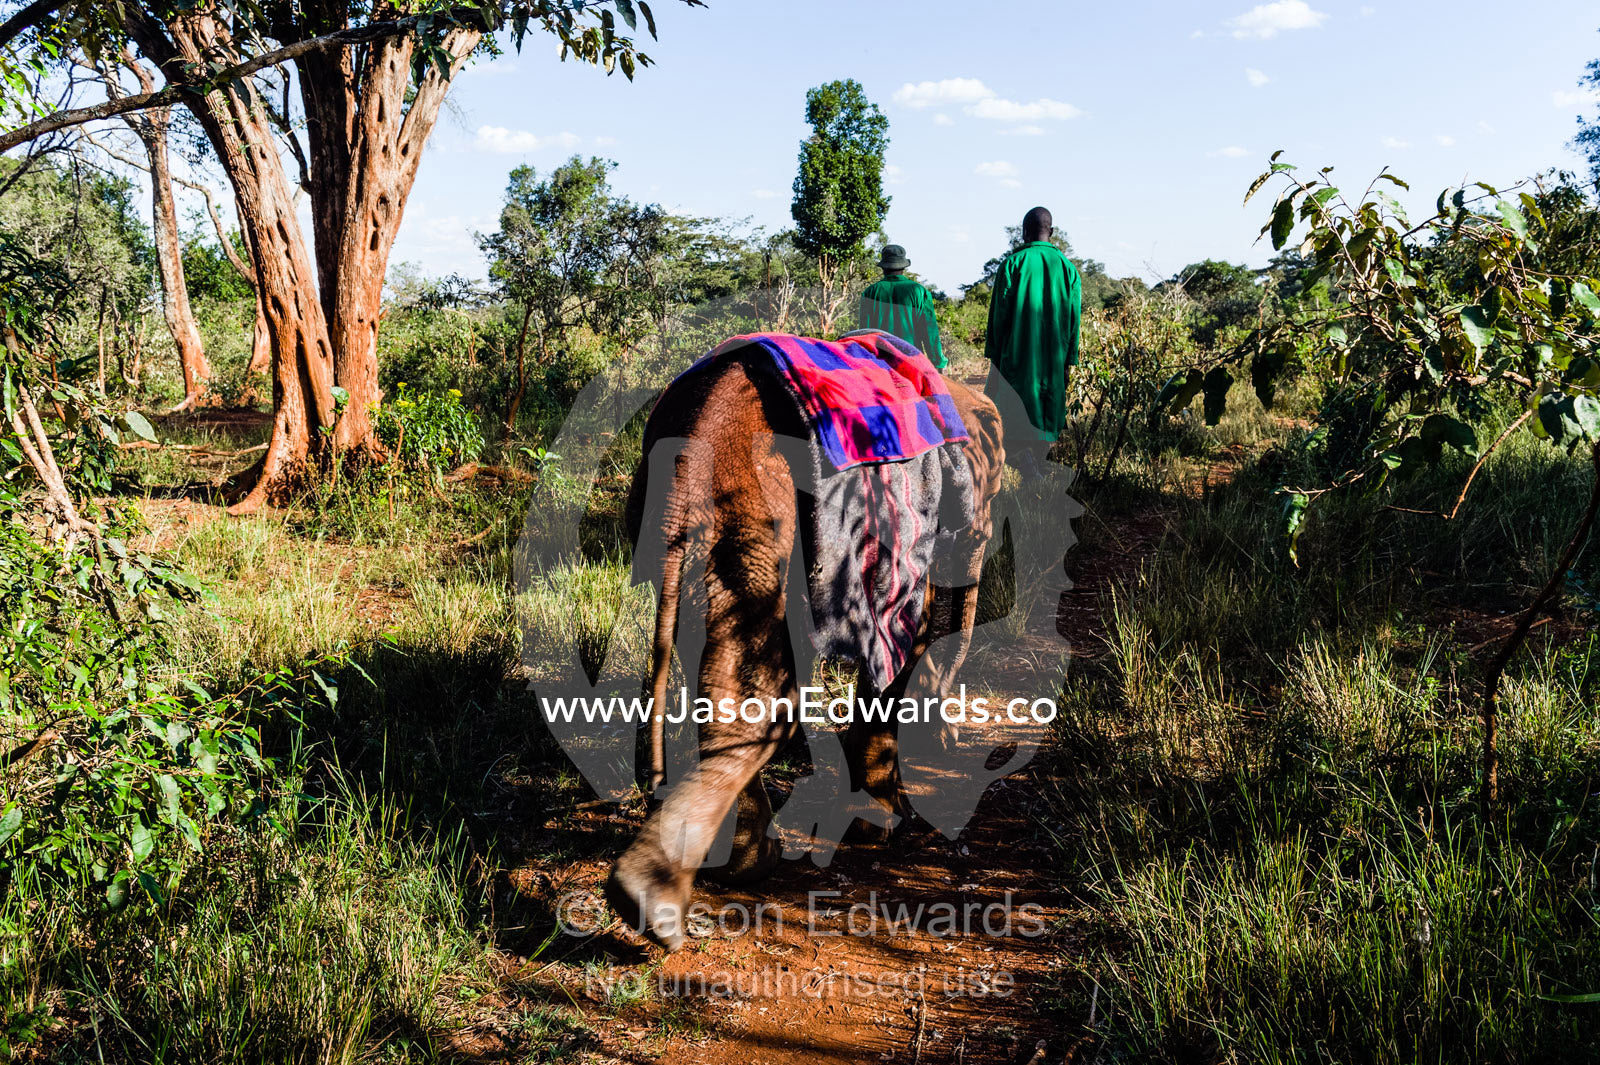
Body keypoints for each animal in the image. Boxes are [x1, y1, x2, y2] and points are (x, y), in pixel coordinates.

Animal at [606, 350, 1005, 951]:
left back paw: (721, 871)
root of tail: (685, 465)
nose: (950, 740)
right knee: (766, 686)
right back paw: (665, 899)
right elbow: (907, 627)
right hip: (756, 513)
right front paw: (884, 825)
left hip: (709, 533)